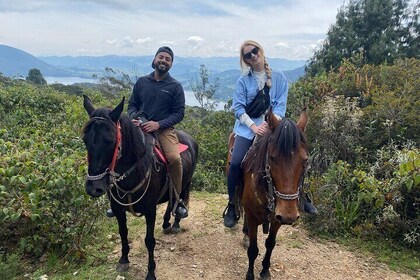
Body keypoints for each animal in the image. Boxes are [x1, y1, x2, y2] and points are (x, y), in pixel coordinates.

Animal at [83, 95, 199, 278]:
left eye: (110, 141)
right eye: (85, 140)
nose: (93, 187)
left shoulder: (150, 210)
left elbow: (149, 241)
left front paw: (151, 272)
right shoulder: (117, 209)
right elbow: (123, 233)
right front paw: (124, 260)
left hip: (186, 182)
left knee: (179, 197)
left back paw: (176, 222)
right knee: (170, 199)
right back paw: (166, 223)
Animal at [238, 107, 306, 280]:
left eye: (305, 160)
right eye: (273, 158)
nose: (289, 216)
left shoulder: (277, 219)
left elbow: (270, 243)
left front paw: (265, 270)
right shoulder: (253, 218)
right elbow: (253, 249)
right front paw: (250, 275)